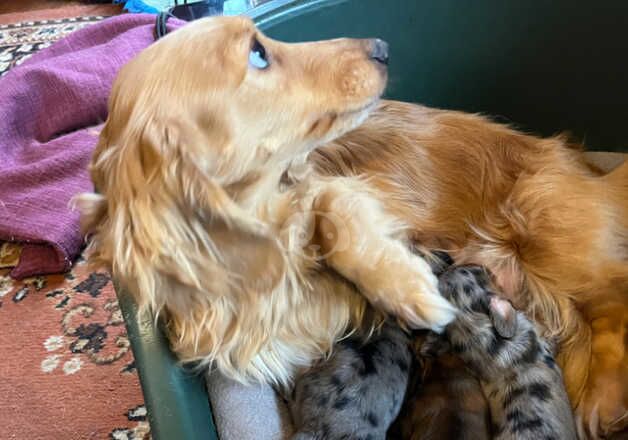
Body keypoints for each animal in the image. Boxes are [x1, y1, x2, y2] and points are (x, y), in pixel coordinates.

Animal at [77, 16, 628, 436]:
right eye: (257, 54)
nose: (382, 47)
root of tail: (588, 167)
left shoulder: (343, 190)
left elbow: (338, 219)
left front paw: (406, 287)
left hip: (549, 229)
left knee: (611, 302)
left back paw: (603, 401)